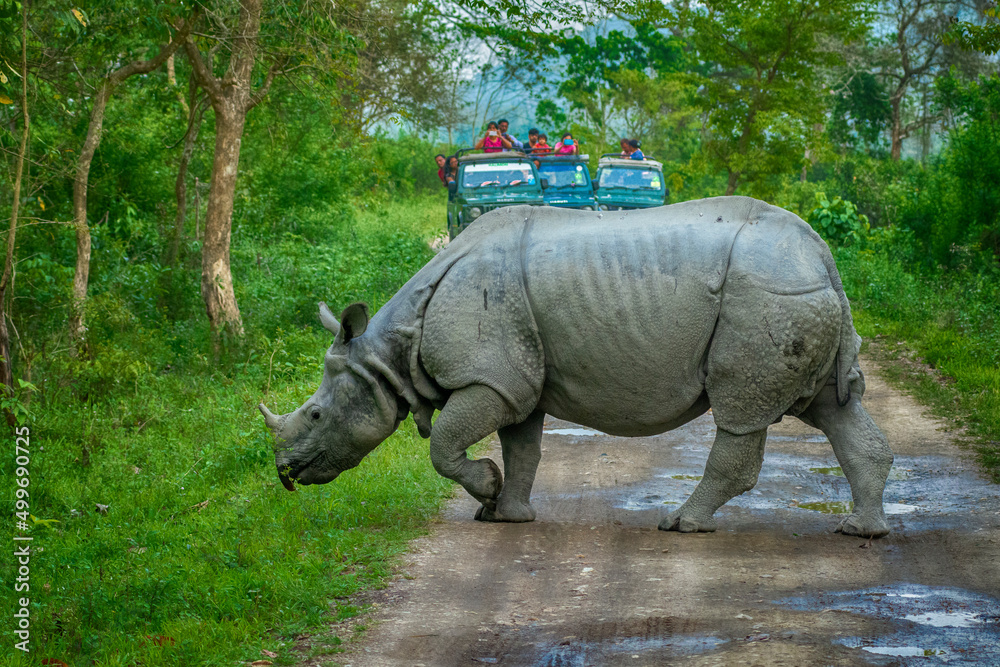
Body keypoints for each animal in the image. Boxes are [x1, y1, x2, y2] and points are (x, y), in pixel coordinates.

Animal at [259, 197, 893, 538]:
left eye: (314, 415)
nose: (285, 472)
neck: (387, 352)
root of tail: (822, 254)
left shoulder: (490, 377)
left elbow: (444, 443)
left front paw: (486, 490)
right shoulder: (515, 380)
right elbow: (524, 450)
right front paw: (506, 515)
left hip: (765, 294)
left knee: (741, 413)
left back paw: (681, 524)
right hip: (793, 291)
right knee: (832, 408)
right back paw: (860, 530)